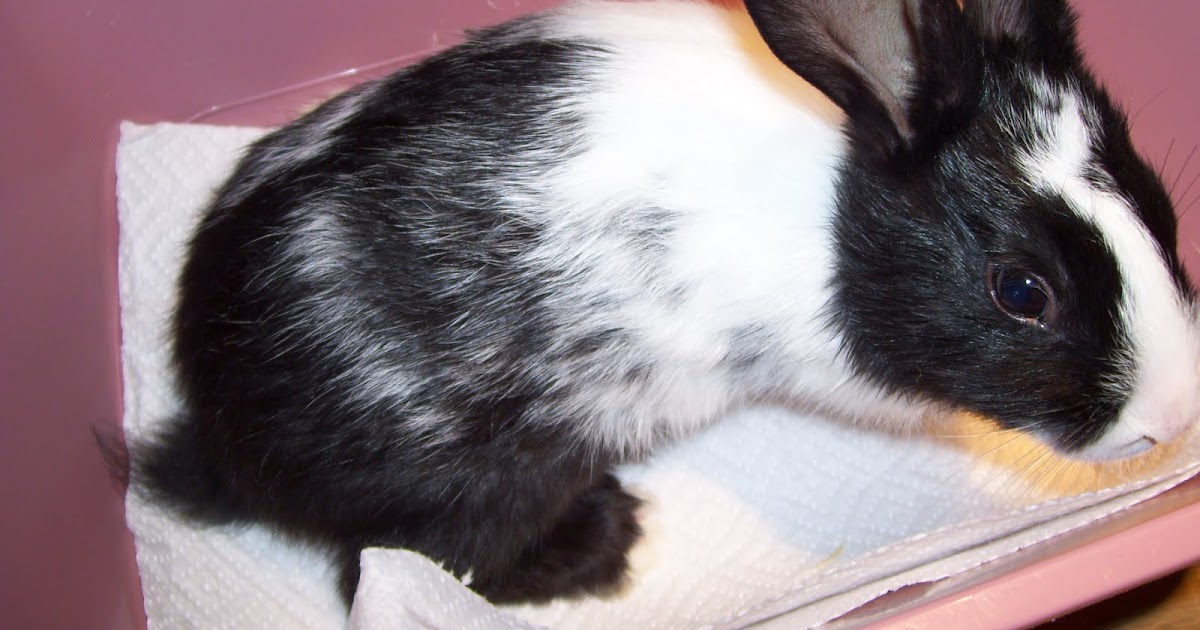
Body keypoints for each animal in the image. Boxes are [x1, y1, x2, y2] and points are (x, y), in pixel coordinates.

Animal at [132, 0, 1200, 606]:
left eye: (1159, 200)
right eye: (1022, 290)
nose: (1173, 416)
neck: (841, 205)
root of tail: (222, 441)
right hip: (481, 480)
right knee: (404, 563)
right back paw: (604, 542)